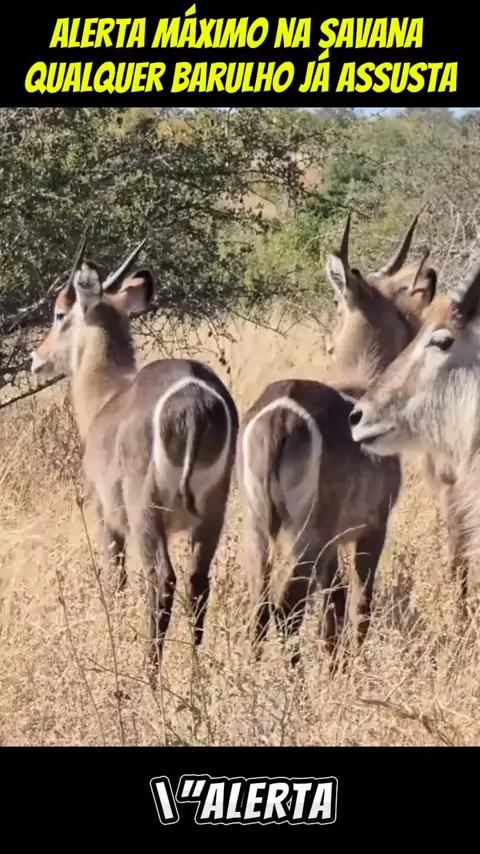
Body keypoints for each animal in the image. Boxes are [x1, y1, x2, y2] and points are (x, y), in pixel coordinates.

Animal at [29, 232, 239, 681]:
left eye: (59, 313)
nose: (36, 358)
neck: (107, 395)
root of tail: (194, 398)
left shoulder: (104, 515)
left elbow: (115, 578)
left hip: (146, 512)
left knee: (162, 580)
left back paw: (150, 674)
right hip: (213, 510)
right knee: (198, 582)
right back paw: (194, 676)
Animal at [236, 210, 437, 669]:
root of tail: (280, 412)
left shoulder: (332, 547)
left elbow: (334, 609)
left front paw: (335, 666)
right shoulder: (371, 528)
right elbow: (360, 603)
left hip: (258, 525)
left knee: (260, 605)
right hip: (306, 533)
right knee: (287, 609)